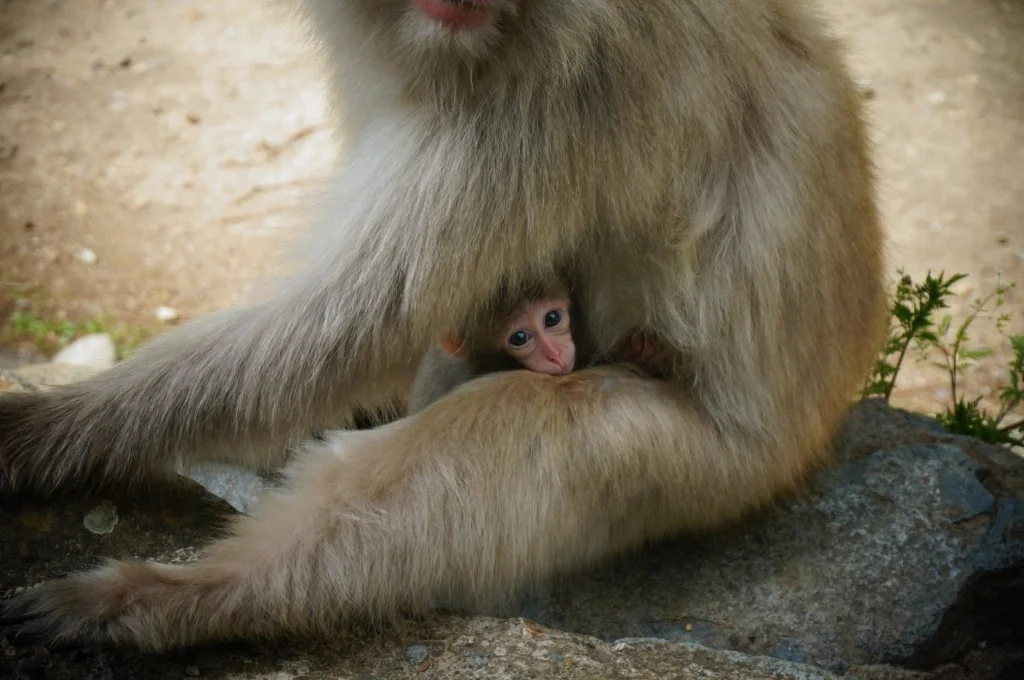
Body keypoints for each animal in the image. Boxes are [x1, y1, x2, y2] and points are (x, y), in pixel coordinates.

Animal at [0, 0, 887, 652]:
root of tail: (814, 434)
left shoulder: (559, 93)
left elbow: (348, 327)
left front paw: (45, 430)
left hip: (703, 472)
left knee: (509, 436)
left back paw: (199, 598)